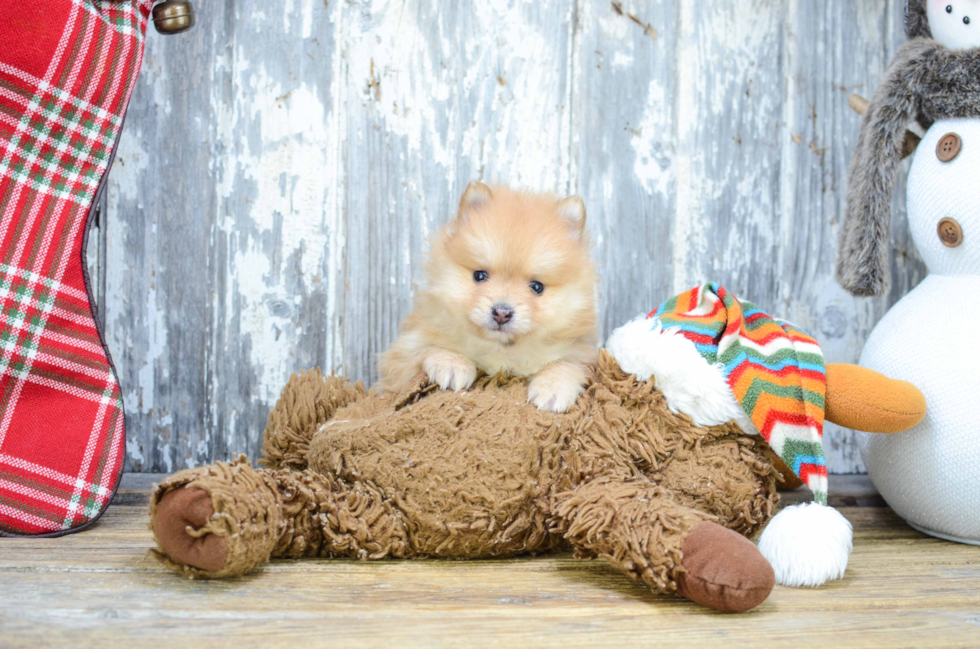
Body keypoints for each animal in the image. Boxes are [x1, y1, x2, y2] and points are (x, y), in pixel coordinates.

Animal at [380, 182, 596, 412]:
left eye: (537, 287)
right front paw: (452, 363)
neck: (499, 348)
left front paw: (553, 387)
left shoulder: (580, 351)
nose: (502, 313)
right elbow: (427, 349)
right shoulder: (400, 360)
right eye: (480, 275)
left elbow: (567, 363)